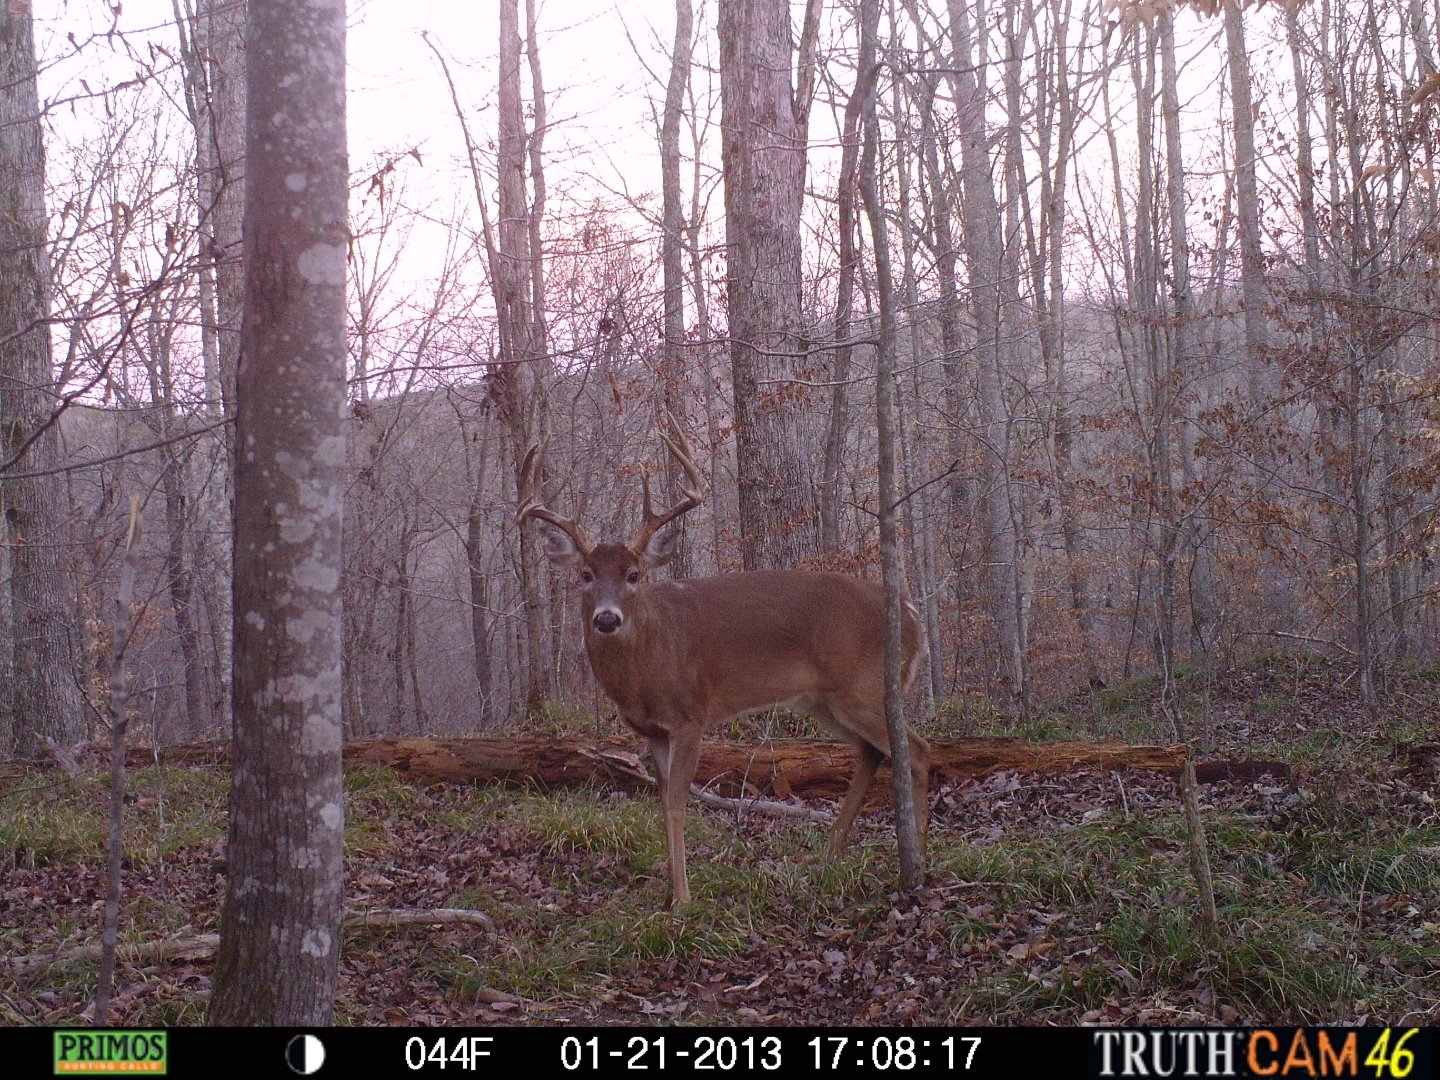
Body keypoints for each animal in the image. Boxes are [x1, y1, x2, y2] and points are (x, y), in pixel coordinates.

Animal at [517, 420, 929, 906]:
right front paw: (669, 886)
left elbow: (679, 803)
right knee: (871, 752)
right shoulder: (652, 730)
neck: (646, 666)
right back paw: (829, 855)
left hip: (863, 687)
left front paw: (682, 899)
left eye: (634, 575)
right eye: (585, 575)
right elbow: (662, 802)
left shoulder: (690, 715)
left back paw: (921, 865)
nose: (606, 618)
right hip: (823, 701)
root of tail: (912, 614)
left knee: (918, 753)